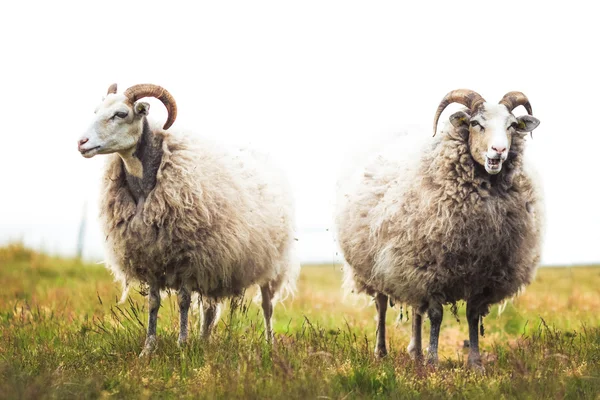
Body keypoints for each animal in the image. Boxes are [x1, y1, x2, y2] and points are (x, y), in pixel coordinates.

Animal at [78, 82, 298, 356]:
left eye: (121, 114)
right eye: (96, 111)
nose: (81, 143)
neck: (146, 185)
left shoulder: (187, 258)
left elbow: (183, 301)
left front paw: (182, 345)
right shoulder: (151, 256)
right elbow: (153, 303)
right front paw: (148, 348)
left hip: (271, 264)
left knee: (267, 306)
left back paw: (269, 345)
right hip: (216, 265)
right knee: (209, 308)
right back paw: (204, 341)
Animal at [336, 90, 548, 368]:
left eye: (512, 125)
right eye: (475, 123)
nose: (499, 151)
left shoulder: (483, 275)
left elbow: (472, 316)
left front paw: (475, 362)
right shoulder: (430, 269)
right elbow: (436, 315)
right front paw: (433, 361)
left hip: (406, 269)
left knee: (416, 309)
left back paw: (415, 351)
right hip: (378, 268)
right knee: (381, 304)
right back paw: (381, 351)